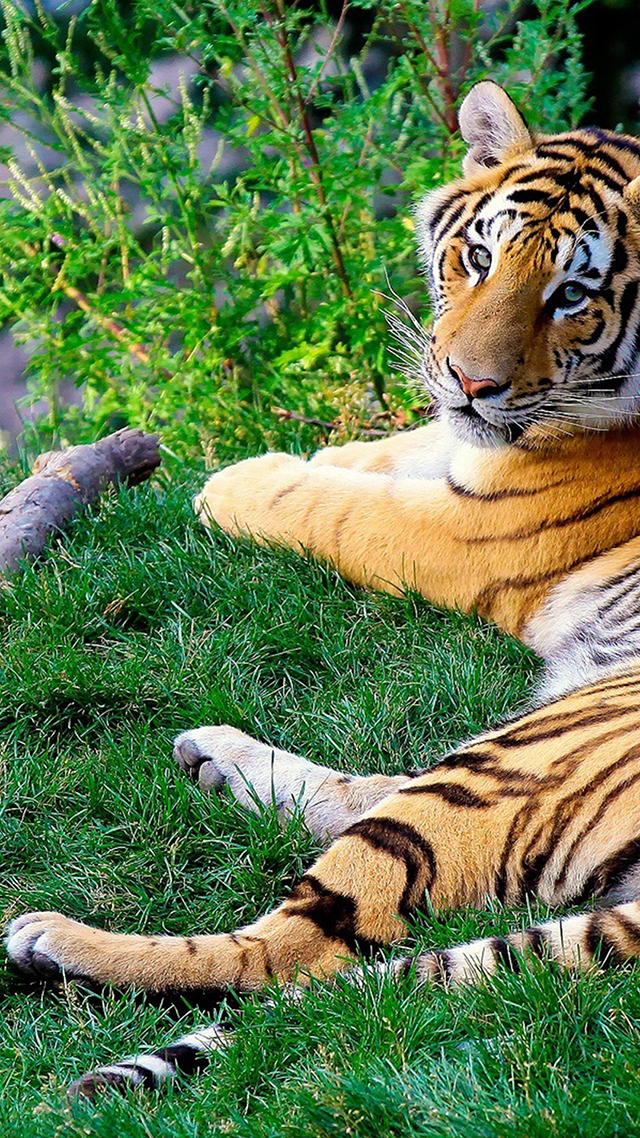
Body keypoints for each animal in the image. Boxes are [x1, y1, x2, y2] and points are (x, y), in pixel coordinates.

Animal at [9, 79, 640, 1099]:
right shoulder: (462, 453)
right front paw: (321, 452)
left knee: (290, 957)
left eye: (571, 296)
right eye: (477, 257)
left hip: (541, 748)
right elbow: (382, 455)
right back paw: (214, 755)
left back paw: (54, 938)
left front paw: (232, 481)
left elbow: (339, 507)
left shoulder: (476, 530)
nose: (468, 380)